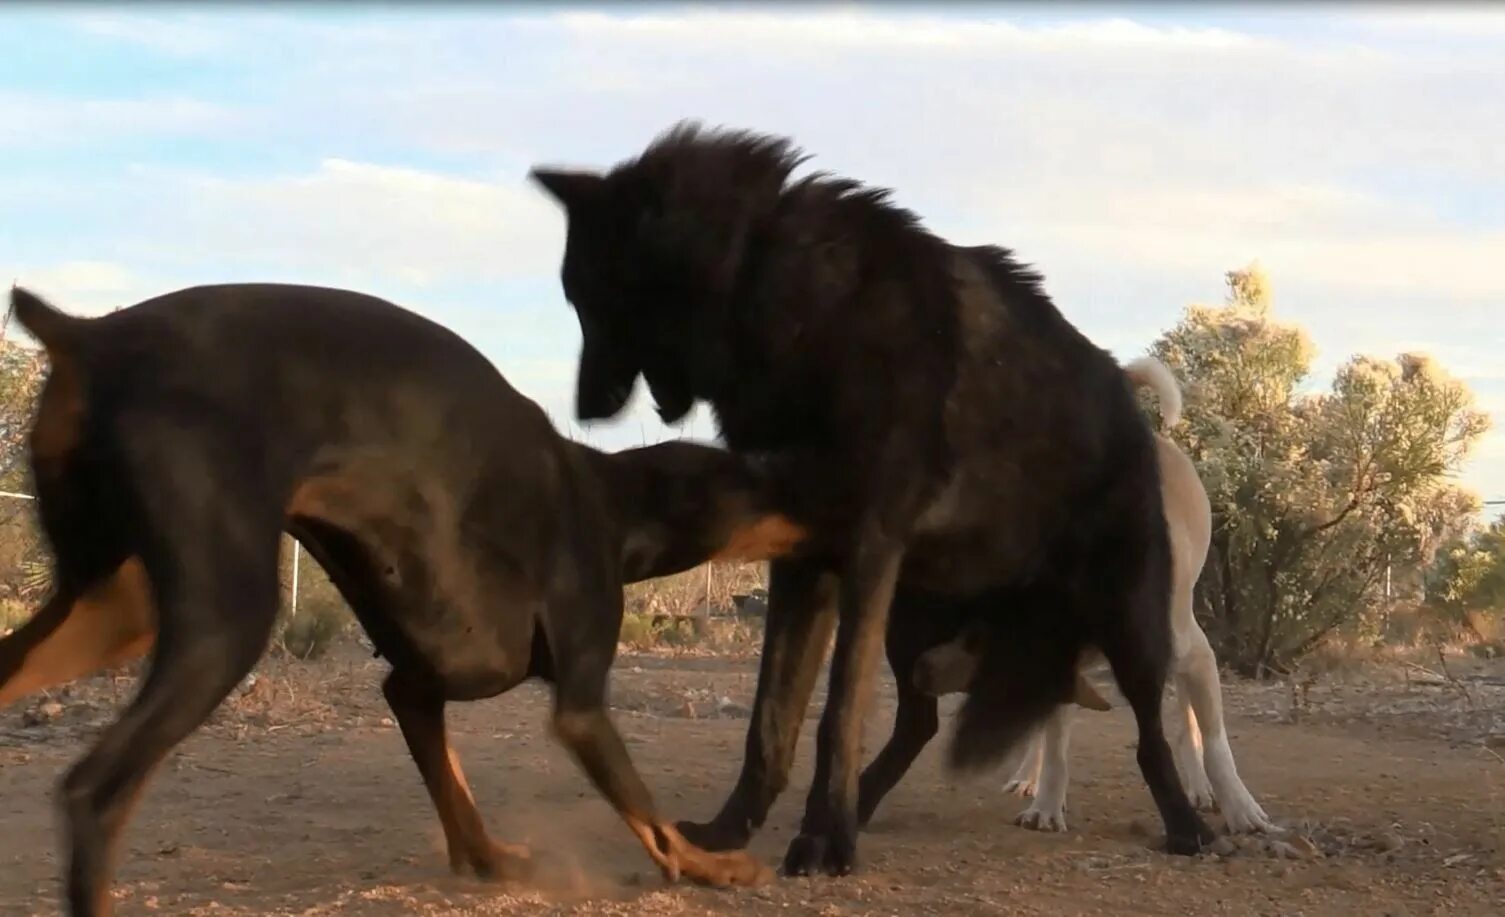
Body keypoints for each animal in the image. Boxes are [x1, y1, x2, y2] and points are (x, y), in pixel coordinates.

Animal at [0, 283, 812, 909]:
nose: (823, 502)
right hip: (222, 624)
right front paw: (712, 867)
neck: (611, 502)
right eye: (759, 480)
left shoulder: (415, 686)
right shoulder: (579, 704)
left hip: (110, 608)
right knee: (94, 795)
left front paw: (490, 859)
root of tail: (92, 337)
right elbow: (650, 815)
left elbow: (453, 786)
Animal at [535, 121, 1216, 873]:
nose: (581, 409)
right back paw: (863, 802)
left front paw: (821, 840)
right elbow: (770, 722)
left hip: (1129, 621)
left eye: (590, 299)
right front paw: (733, 829)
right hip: (916, 626)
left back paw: (1188, 822)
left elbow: (836, 716)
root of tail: (1134, 410)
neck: (779, 288)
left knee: (1150, 730)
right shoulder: (802, 558)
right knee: (921, 719)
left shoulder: (864, 547)